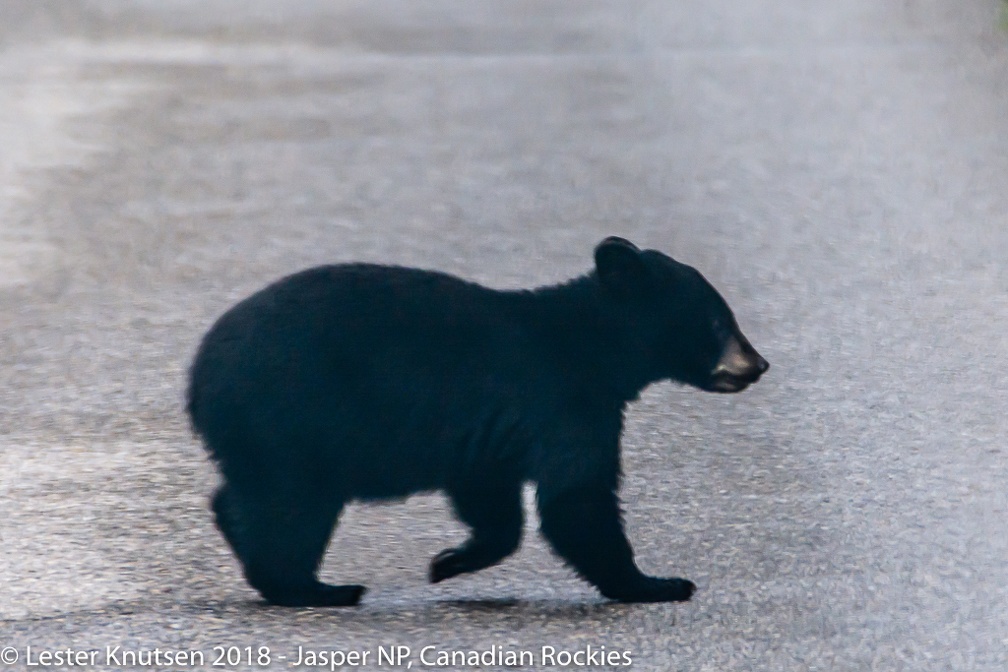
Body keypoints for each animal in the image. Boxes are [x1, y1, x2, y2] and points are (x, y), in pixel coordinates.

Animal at [189, 237, 766, 608]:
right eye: (719, 320)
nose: (758, 365)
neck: (593, 346)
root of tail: (198, 377)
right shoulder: (563, 403)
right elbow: (576, 498)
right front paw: (657, 583)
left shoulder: (490, 433)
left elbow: (490, 495)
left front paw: (449, 561)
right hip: (295, 422)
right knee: (291, 506)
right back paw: (314, 588)